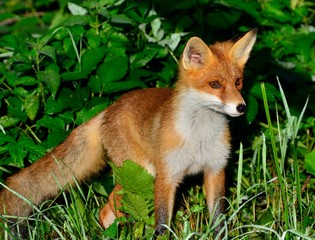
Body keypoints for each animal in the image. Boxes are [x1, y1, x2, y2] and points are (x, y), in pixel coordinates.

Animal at [0, 28, 256, 236]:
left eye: (238, 82)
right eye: (215, 84)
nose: (241, 107)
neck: (199, 137)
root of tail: (108, 109)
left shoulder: (215, 170)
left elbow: (218, 221)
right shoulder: (166, 176)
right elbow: (162, 223)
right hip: (140, 172)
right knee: (107, 207)